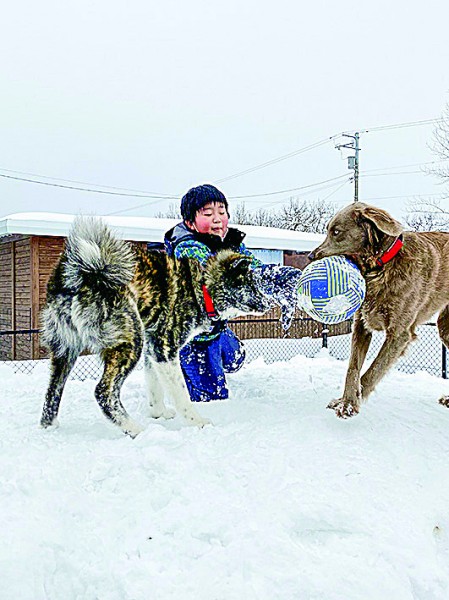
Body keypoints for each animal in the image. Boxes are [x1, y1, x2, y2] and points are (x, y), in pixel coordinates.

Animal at [310, 202, 448, 418]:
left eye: (336, 232)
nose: (310, 256)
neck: (380, 267)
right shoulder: (361, 324)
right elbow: (353, 368)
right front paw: (345, 400)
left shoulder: (399, 335)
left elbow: (373, 371)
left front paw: (351, 404)